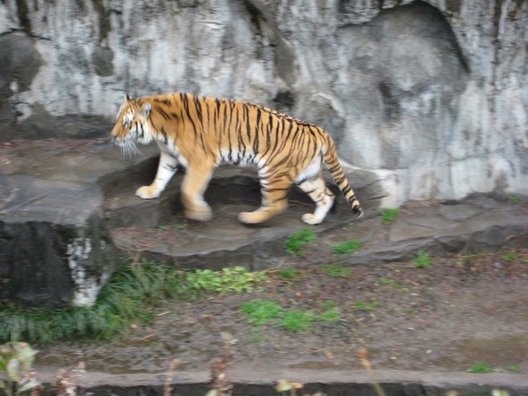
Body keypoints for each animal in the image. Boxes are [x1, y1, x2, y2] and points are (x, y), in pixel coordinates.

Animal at [111, 91, 364, 224]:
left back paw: (249, 218)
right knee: (327, 195)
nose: (112, 136)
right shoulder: (169, 155)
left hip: (272, 171)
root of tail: (320, 131)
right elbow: (161, 175)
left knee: (277, 204)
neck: (161, 128)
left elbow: (188, 190)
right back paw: (313, 219)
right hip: (305, 175)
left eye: (126, 123)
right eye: (117, 120)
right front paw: (150, 191)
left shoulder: (201, 161)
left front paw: (200, 213)